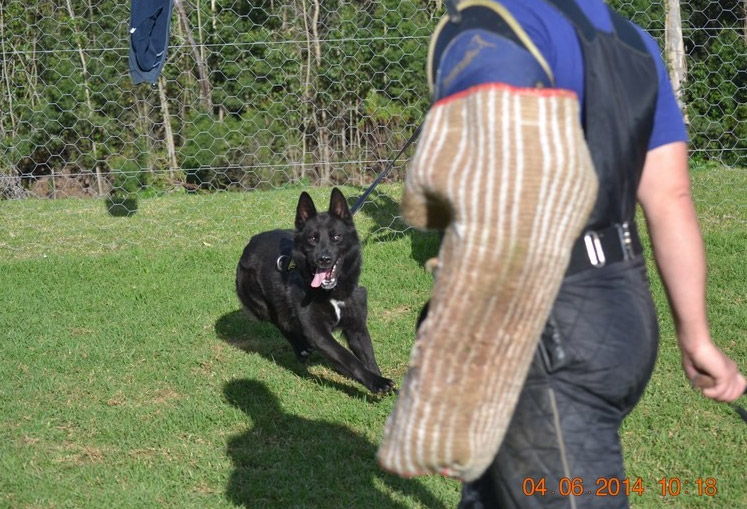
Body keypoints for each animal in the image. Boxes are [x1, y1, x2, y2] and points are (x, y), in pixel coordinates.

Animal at [235, 188, 395, 394]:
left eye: (336, 237)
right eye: (312, 239)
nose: (323, 259)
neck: (333, 293)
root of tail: (251, 242)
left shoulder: (357, 327)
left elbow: (368, 357)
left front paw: (380, 381)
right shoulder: (318, 332)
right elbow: (348, 358)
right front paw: (376, 382)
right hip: (261, 305)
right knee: (281, 322)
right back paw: (300, 348)